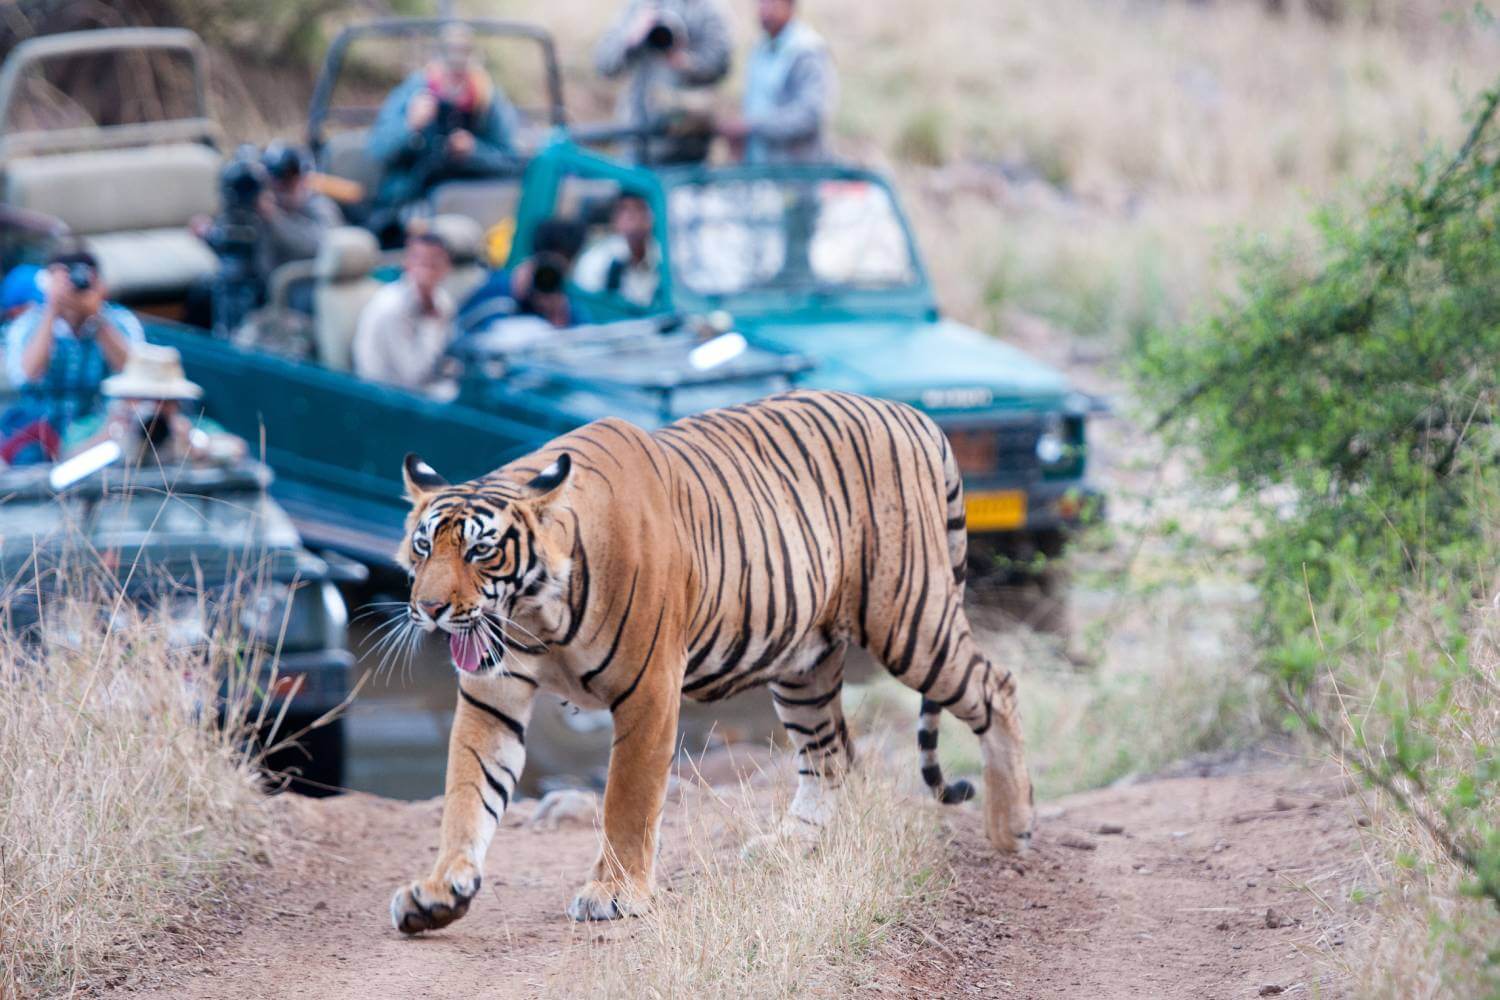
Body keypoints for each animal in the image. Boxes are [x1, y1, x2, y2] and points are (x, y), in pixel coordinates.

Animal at [387, 389, 1032, 929]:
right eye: (423, 547)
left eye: (480, 551)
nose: (430, 609)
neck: (537, 613)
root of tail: (913, 414)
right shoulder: (492, 697)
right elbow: (468, 791)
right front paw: (439, 892)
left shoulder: (648, 690)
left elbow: (627, 798)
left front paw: (614, 893)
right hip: (804, 663)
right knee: (831, 755)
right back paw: (787, 847)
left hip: (909, 620)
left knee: (997, 686)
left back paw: (1011, 828)